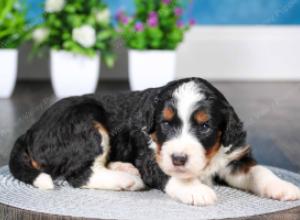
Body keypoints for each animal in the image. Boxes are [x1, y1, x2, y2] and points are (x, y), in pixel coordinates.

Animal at [9, 78, 300, 206]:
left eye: (204, 126)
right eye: (166, 124)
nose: (179, 158)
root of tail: (31, 129)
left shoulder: (233, 157)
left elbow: (259, 171)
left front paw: (284, 187)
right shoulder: (151, 156)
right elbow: (170, 174)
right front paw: (196, 190)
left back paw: (123, 168)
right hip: (87, 121)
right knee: (78, 174)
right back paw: (127, 179)